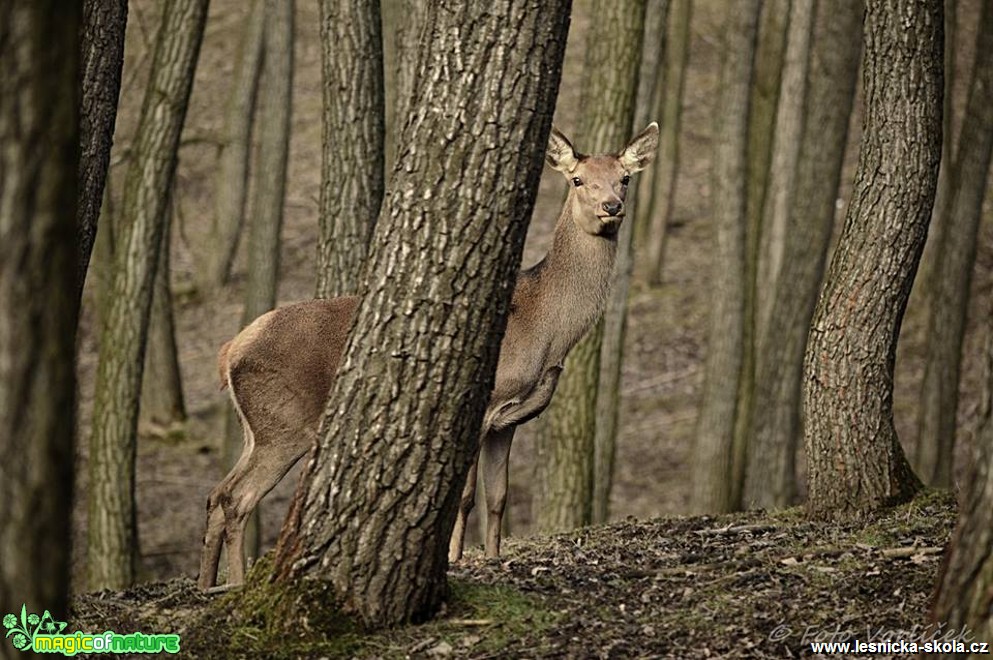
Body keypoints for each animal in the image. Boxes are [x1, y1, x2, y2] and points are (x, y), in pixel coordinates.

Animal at [197, 122, 656, 588]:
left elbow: (499, 496)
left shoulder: (509, 419)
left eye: (625, 178)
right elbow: (466, 496)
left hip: (255, 427)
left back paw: (206, 584)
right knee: (236, 498)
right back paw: (236, 584)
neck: (544, 329)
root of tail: (229, 351)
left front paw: (494, 558)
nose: (612, 206)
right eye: (578, 179)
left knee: (215, 494)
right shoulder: (483, 403)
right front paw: (454, 560)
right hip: (284, 422)